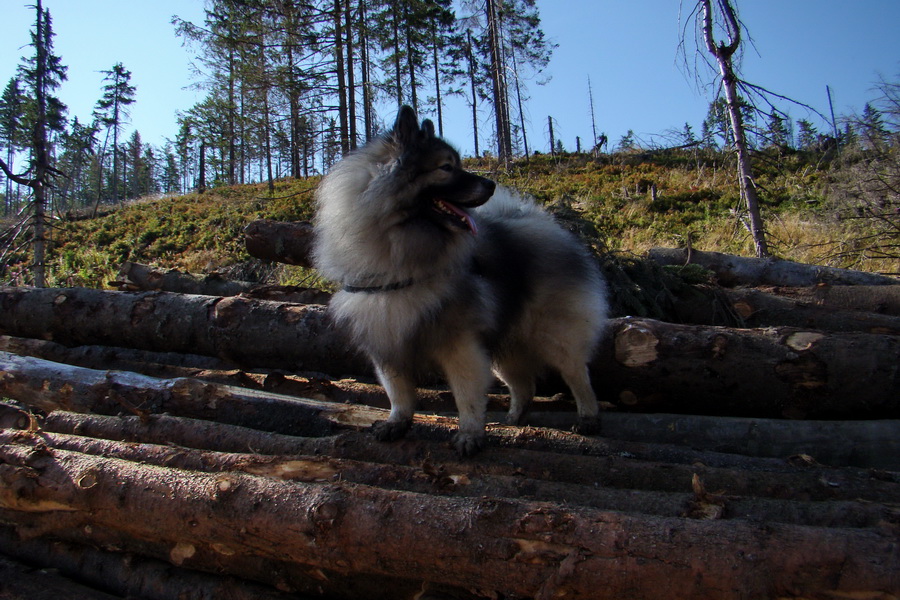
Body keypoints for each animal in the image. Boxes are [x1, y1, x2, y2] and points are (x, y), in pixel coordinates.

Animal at [312, 106, 608, 454]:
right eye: (446, 167)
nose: (490, 184)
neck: (400, 250)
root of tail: (542, 223)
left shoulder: (460, 345)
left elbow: (466, 395)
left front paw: (469, 435)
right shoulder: (387, 342)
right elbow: (398, 394)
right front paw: (396, 423)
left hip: (555, 335)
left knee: (578, 376)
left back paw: (588, 418)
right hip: (506, 343)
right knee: (524, 384)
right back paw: (513, 418)